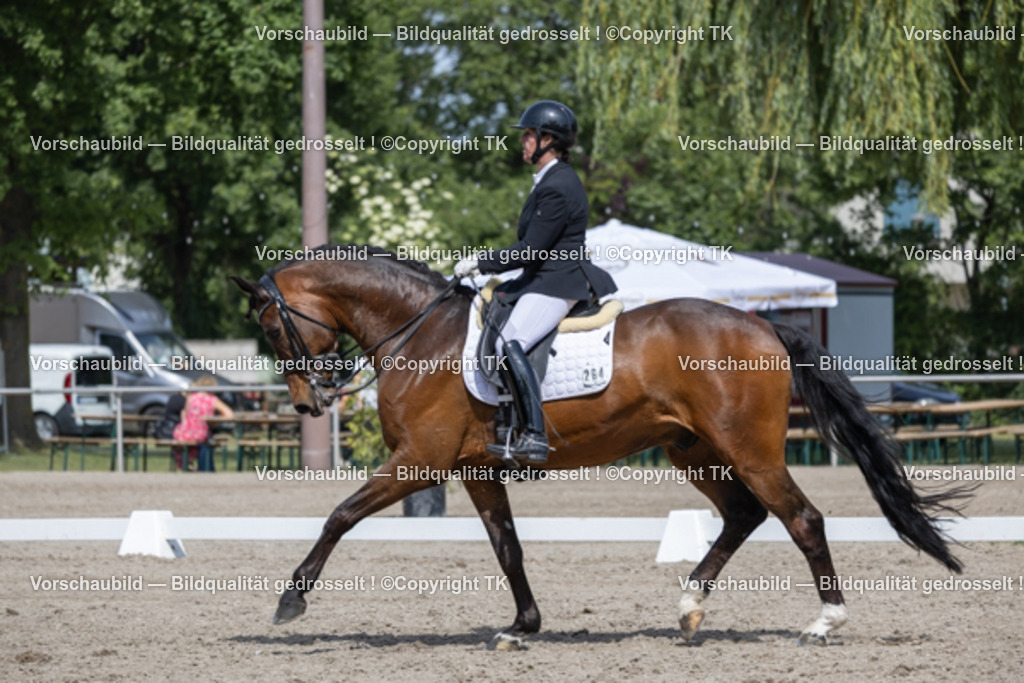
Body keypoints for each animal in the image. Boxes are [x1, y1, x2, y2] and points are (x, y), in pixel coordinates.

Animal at [231, 244, 966, 648]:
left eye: (272, 325)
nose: (308, 404)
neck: (419, 333)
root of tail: (761, 324)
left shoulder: (420, 462)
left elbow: (340, 514)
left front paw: (291, 601)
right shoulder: (474, 469)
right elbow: (507, 547)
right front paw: (522, 625)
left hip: (749, 449)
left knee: (801, 517)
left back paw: (823, 623)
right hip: (692, 449)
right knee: (745, 514)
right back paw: (689, 607)